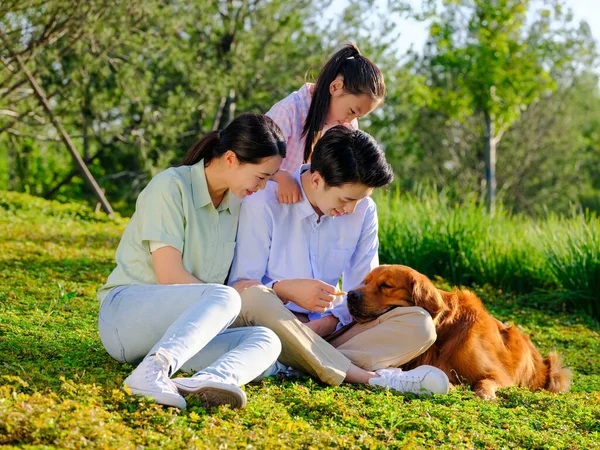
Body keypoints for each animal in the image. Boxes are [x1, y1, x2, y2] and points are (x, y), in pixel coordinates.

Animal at [344, 266, 568, 400]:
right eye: (365, 282)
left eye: (386, 285)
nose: (350, 295)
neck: (444, 330)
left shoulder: (501, 376)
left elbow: (485, 382)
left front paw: (484, 394)